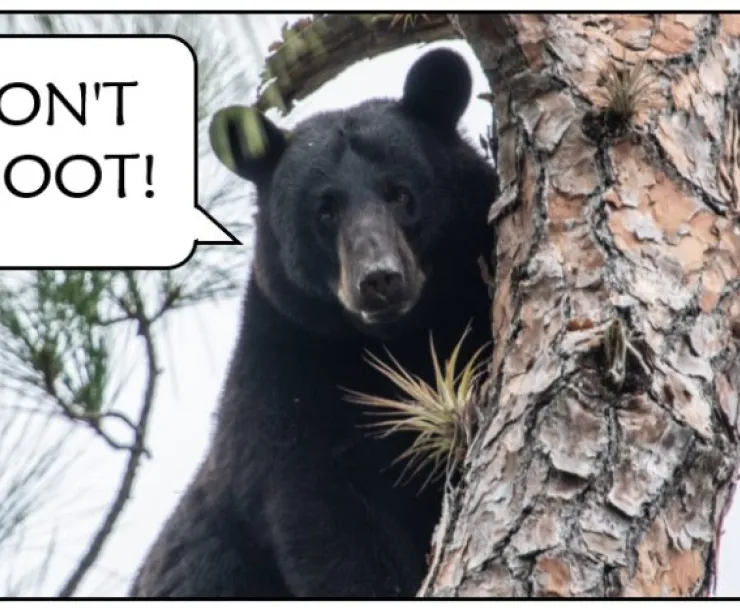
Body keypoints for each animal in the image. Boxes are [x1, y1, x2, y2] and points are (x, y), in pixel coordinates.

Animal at [129, 47, 499, 598]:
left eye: (401, 193)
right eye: (324, 211)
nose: (379, 279)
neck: (400, 343)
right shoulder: (285, 390)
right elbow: (329, 528)